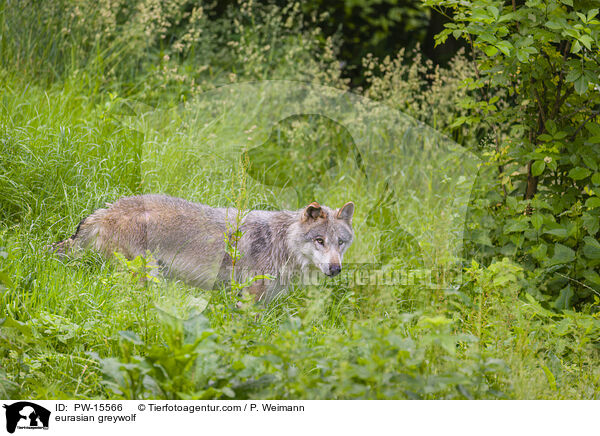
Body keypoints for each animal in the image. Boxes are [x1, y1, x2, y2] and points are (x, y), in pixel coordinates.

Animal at [54, 195, 354, 302]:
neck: (280, 242)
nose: (335, 269)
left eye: (340, 242)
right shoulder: (250, 297)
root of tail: (105, 211)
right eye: (319, 240)